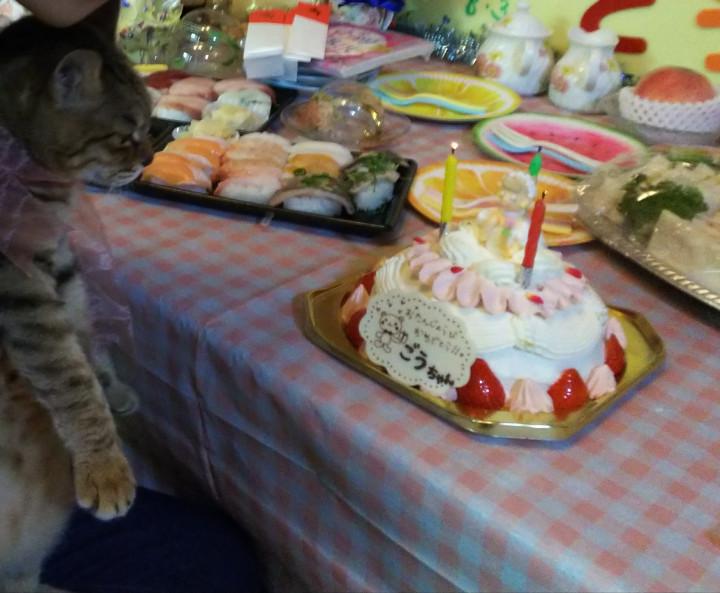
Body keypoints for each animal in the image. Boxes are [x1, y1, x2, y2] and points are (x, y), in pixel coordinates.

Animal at [0, 4, 153, 591]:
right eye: (126, 135)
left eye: (150, 125)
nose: (151, 156)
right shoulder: (19, 288)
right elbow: (67, 377)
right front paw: (105, 466)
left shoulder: (57, 256)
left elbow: (84, 326)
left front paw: (112, 386)